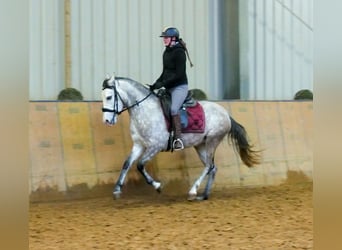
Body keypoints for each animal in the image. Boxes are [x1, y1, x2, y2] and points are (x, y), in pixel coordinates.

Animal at [101, 73, 262, 200]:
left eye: (109, 97)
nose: (107, 121)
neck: (145, 110)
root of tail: (226, 114)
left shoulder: (155, 146)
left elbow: (140, 165)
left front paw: (158, 186)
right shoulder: (139, 145)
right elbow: (127, 164)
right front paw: (117, 190)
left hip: (212, 141)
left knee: (209, 166)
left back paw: (193, 191)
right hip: (200, 145)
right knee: (212, 167)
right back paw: (204, 195)